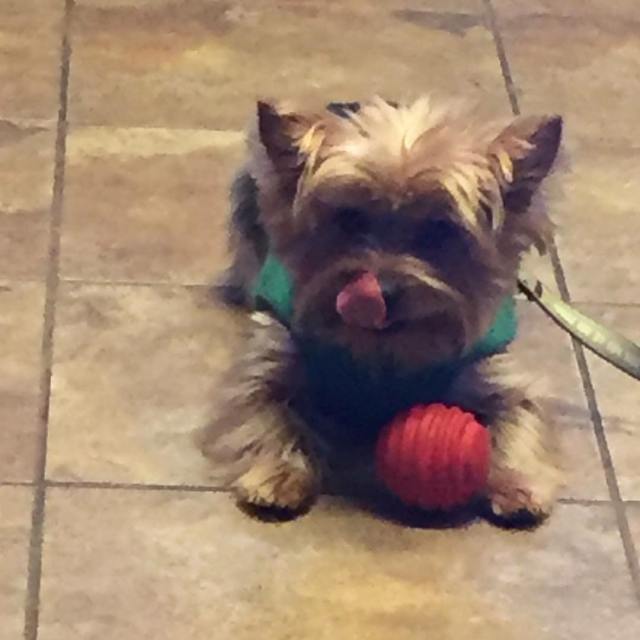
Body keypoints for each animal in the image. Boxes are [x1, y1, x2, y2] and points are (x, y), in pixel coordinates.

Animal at [201, 96, 564, 525]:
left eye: (439, 231)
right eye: (349, 219)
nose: (380, 290)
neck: (386, 351)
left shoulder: (496, 376)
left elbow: (520, 415)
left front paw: (518, 483)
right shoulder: (270, 361)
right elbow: (262, 412)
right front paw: (278, 474)